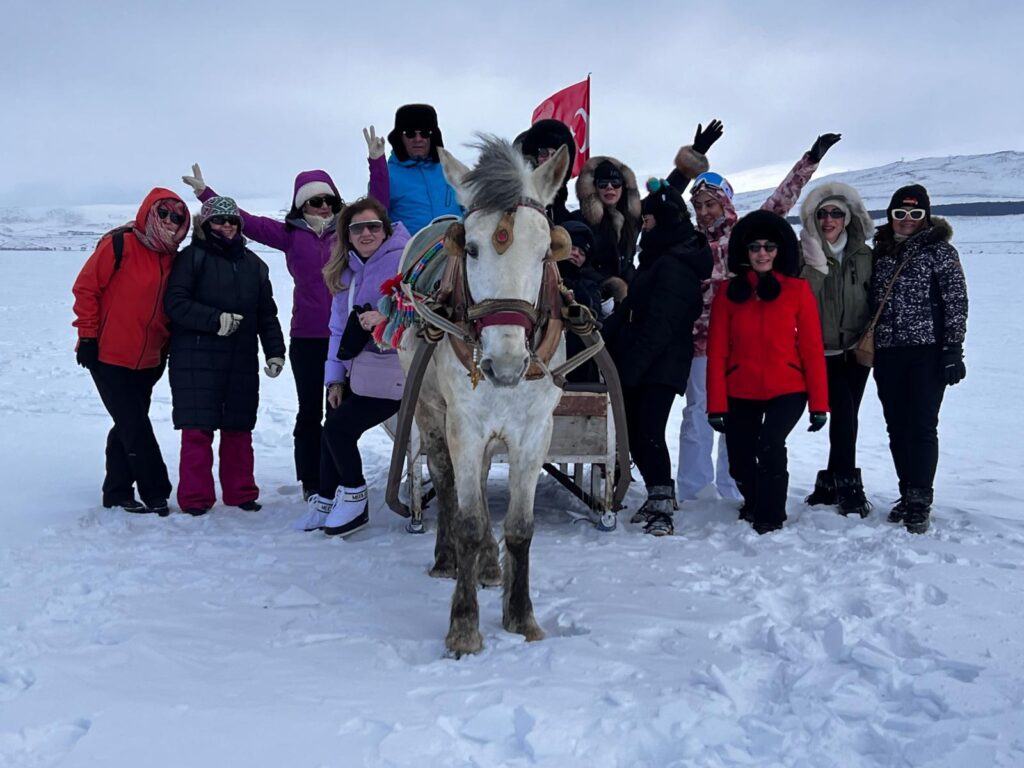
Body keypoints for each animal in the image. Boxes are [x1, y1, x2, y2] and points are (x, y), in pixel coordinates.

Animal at [397, 135, 573, 659]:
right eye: (471, 248)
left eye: (545, 251)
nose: (506, 364)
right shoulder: (465, 426)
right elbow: (469, 521)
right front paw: (464, 627)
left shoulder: (535, 431)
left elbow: (520, 527)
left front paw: (521, 616)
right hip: (430, 413)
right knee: (447, 482)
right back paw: (447, 559)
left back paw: (491, 568)